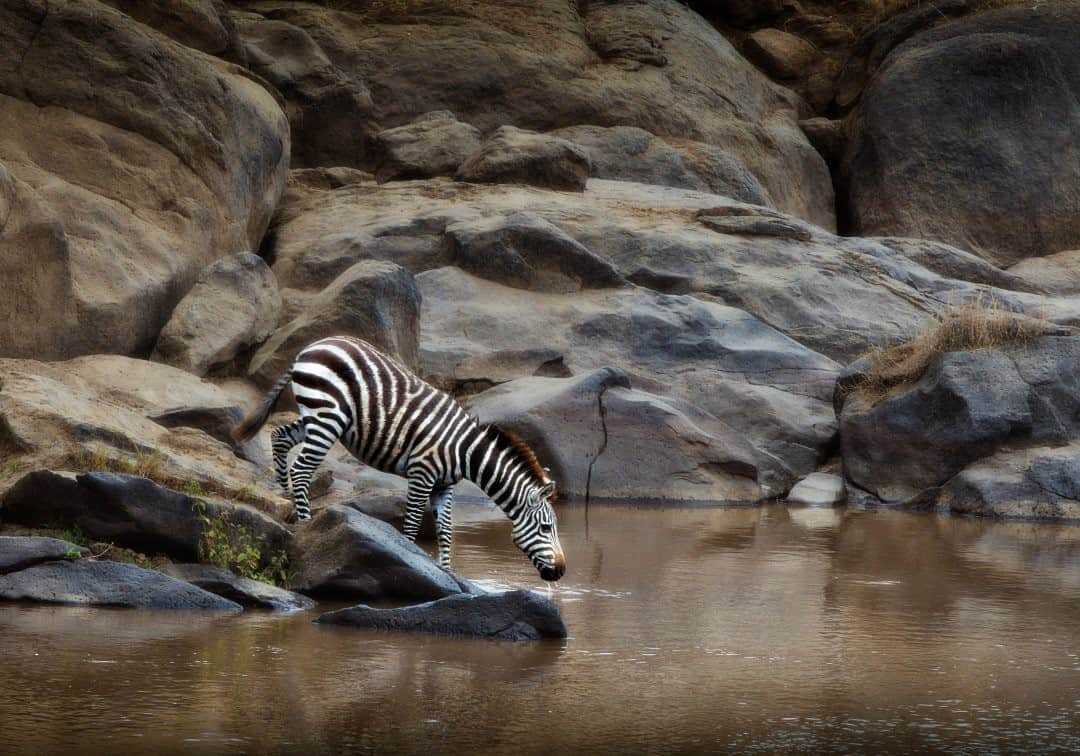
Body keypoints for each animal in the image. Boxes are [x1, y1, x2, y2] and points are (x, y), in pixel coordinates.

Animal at [231, 335, 566, 582]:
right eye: (546, 528)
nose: (561, 572)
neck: (465, 451)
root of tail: (311, 347)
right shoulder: (422, 473)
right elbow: (413, 523)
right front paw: (410, 560)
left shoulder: (444, 485)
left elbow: (446, 530)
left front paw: (448, 573)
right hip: (328, 417)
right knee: (302, 469)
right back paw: (305, 525)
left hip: (318, 416)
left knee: (279, 436)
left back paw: (283, 493)